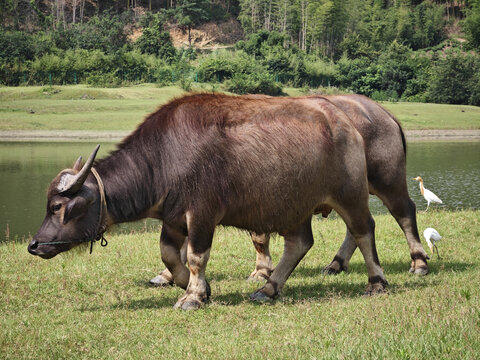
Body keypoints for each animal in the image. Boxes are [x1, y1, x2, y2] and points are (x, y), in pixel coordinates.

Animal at [26, 93, 388, 310]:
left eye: (58, 207)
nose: (35, 244)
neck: (163, 159)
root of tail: (344, 123)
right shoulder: (173, 218)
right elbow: (170, 254)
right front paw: (195, 286)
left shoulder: (202, 214)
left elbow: (196, 257)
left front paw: (193, 297)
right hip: (295, 206)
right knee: (299, 243)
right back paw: (268, 288)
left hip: (350, 195)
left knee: (363, 230)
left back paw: (376, 282)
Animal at [152, 94, 430, 288]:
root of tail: (383, 112)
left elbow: (258, 238)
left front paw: (262, 272)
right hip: (350, 192)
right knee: (356, 227)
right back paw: (336, 264)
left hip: (387, 181)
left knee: (404, 213)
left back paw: (418, 262)